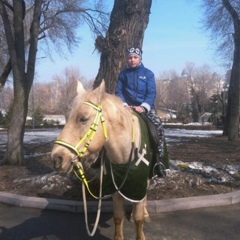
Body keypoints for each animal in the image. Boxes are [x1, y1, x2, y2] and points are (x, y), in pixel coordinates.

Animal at [51, 80, 155, 240]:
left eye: (83, 118)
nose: (57, 158)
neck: (125, 152)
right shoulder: (116, 188)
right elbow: (118, 217)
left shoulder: (139, 183)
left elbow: (139, 219)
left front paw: (141, 217)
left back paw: (146, 213)